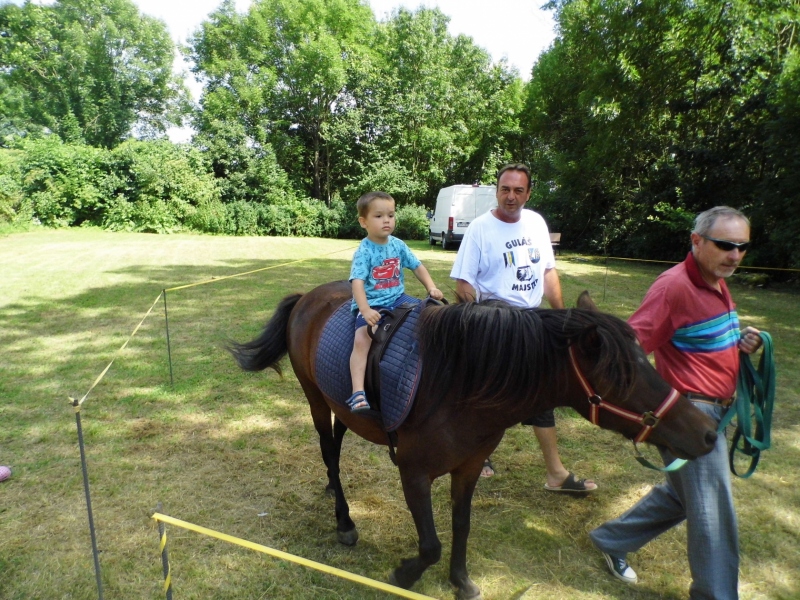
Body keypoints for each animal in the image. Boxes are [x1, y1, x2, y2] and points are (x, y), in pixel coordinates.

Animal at [231, 282, 720, 600]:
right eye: (623, 377)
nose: (707, 432)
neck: (458, 384)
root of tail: (308, 297)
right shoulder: (413, 472)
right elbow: (430, 544)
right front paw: (404, 575)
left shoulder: (467, 468)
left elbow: (461, 527)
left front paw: (461, 581)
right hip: (315, 398)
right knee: (329, 452)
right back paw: (344, 520)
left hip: (342, 407)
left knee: (335, 444)